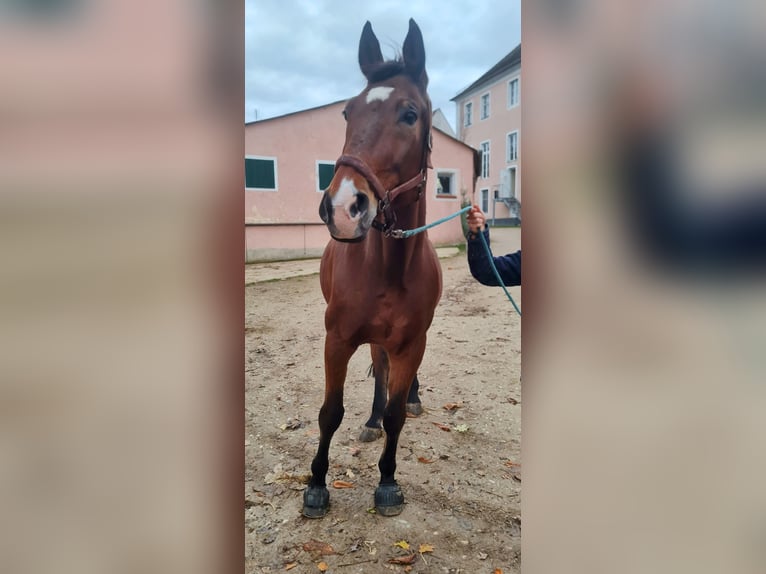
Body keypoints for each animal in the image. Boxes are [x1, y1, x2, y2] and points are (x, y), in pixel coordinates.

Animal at [304, 19, 438, 520]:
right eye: (347, 113)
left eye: (410, 114)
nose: (343, 208)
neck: (388, 269)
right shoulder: (338, 339)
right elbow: (330, 412)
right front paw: (315, 485)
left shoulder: (411, 341)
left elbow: (398, 415)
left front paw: (387, 482)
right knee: (378, 368)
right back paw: (371, 418)